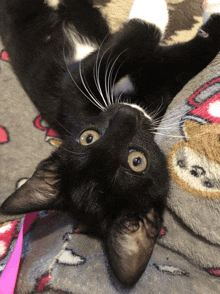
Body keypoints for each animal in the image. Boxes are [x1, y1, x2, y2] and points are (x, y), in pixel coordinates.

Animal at [0, 0, 220, 288]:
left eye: (136, 161)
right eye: (88, 138)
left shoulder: (163, 74)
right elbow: (138, 38)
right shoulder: (73, 88)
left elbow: (192, 54)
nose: (125, 115)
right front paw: (155, 9)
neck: (143, 99)